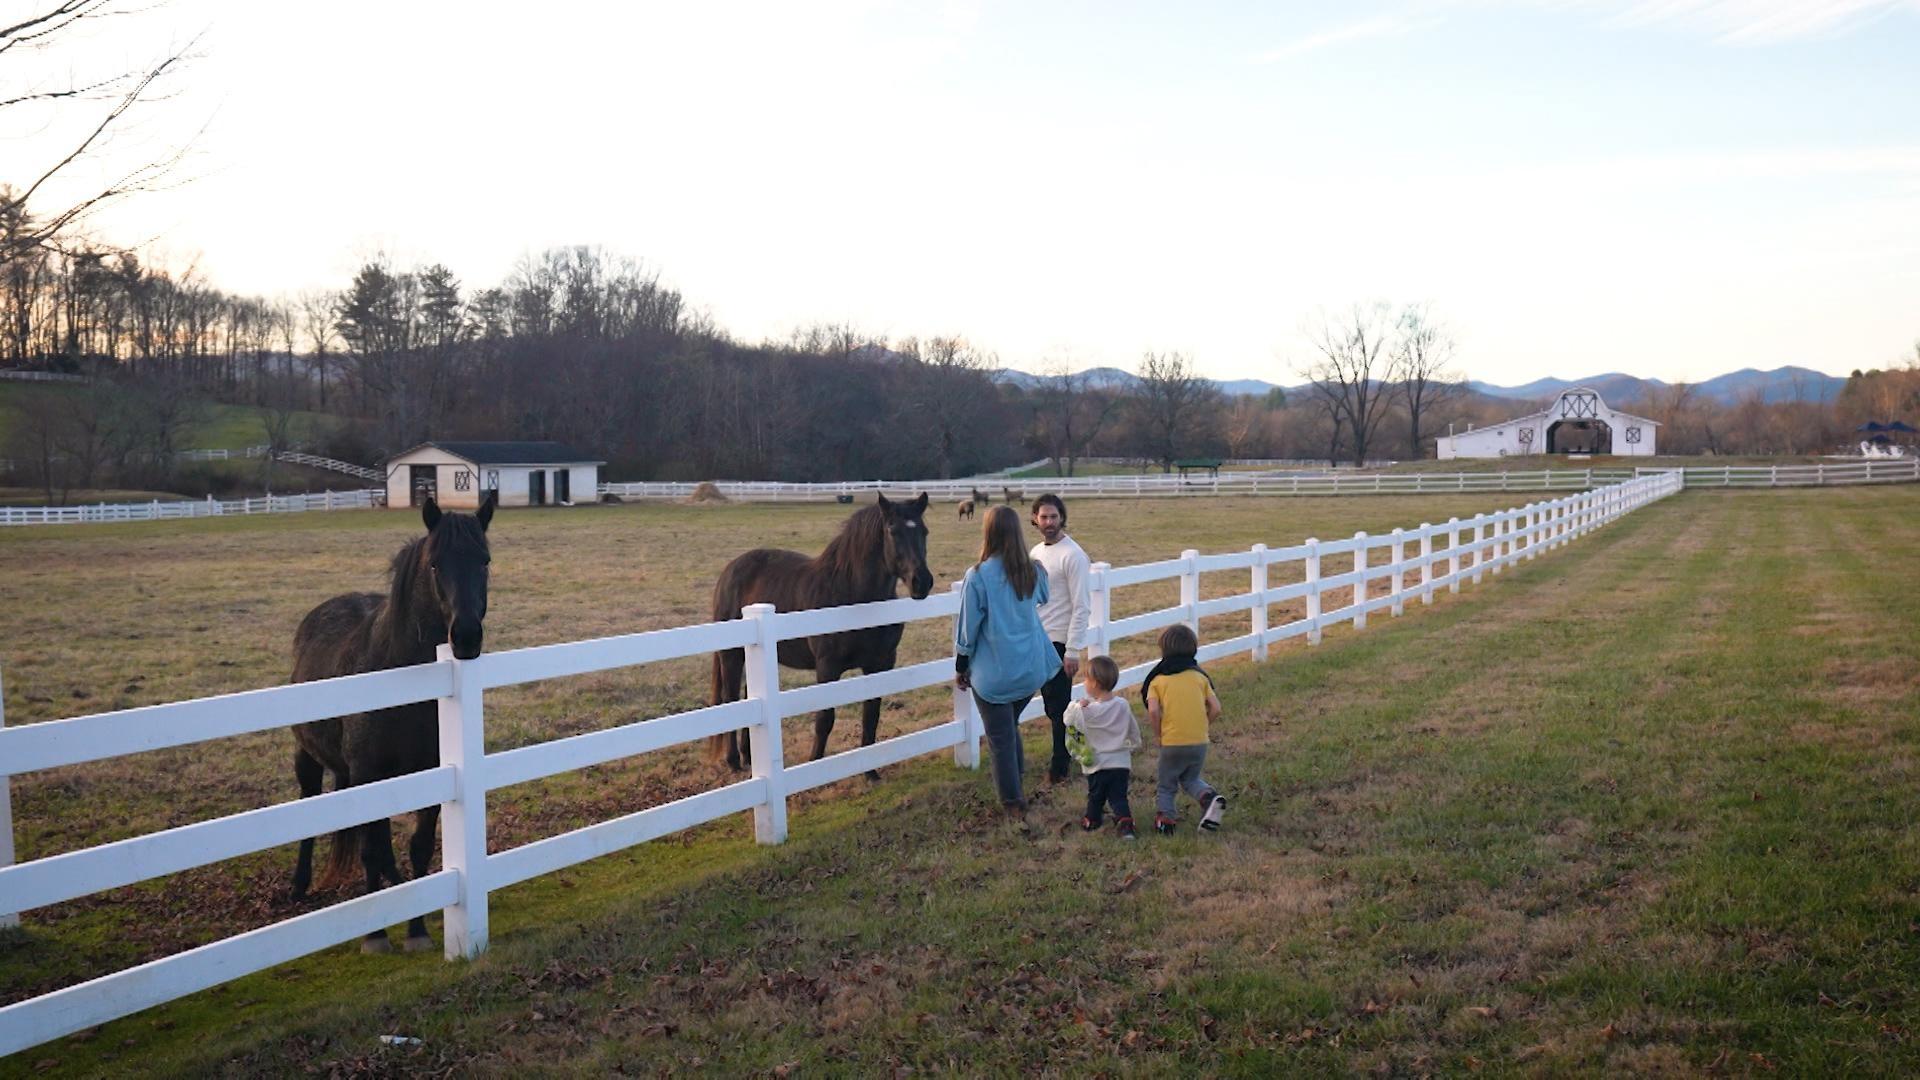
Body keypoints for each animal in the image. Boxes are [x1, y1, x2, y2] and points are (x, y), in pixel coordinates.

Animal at [289, 491, 495, 953]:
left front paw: (417, 929)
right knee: (313, 804)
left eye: (485, 561)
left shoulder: (432, 771)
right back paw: (299, 884)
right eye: (435, 564)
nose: (466, 637)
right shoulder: (369, 772)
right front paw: (377, 935)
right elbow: (371, 849)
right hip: (310, 755)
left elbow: (418, 846)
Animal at [708, 493, 934, 773]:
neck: (853, 596)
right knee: (731, 698)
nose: (921, 582)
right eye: (893, 531)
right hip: (731, 654)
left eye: (924, 531)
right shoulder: (827, 667)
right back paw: (733, 761)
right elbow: (825, 719)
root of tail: (729, 570)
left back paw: (749, 757)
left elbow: (871, 716)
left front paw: (870, 773)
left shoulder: (880, 665)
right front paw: (814, 764)